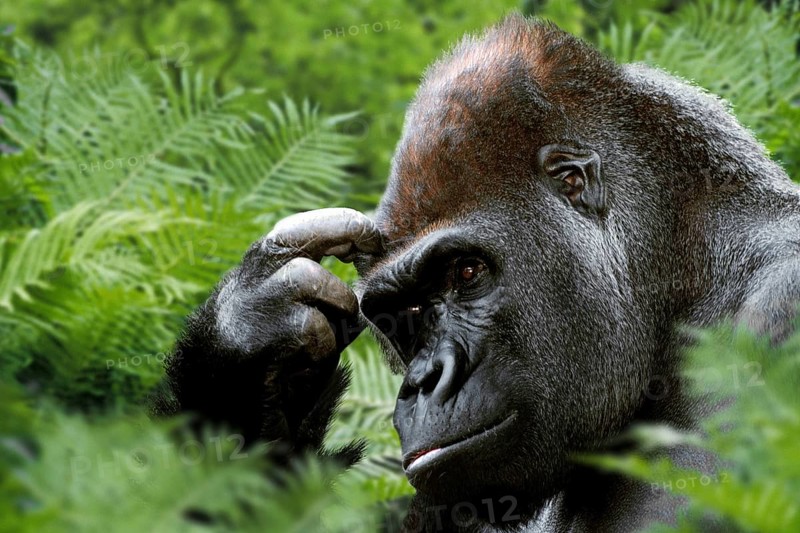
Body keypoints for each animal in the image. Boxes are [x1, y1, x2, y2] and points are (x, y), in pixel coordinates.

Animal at [155, 15, 800, 532]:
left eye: (466, 272)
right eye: (406, 314)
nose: (423, 381)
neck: (684, 281)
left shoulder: (782, 299)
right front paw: (247, 353)